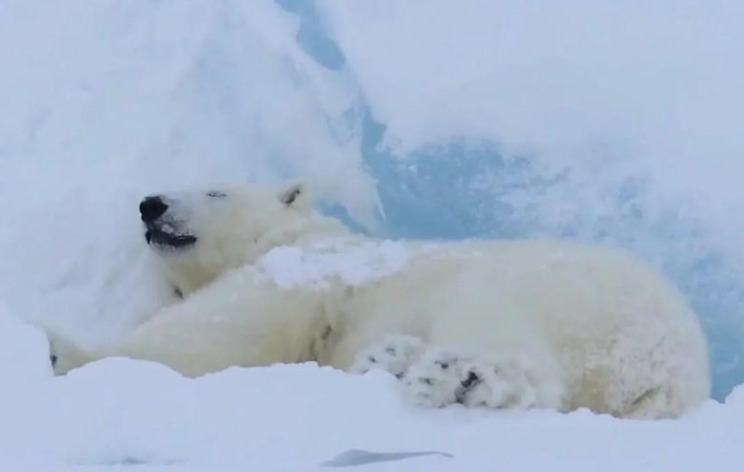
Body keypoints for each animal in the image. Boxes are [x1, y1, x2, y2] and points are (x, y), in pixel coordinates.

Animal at [48, 181, 711, 419]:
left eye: (215, 190)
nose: (151, 203)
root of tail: (671, 367)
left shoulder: (302, 273)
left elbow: (218, 329)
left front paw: (62, 352)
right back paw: (387, 359)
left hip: (555, 292)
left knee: (505, 339)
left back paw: (457, 374)